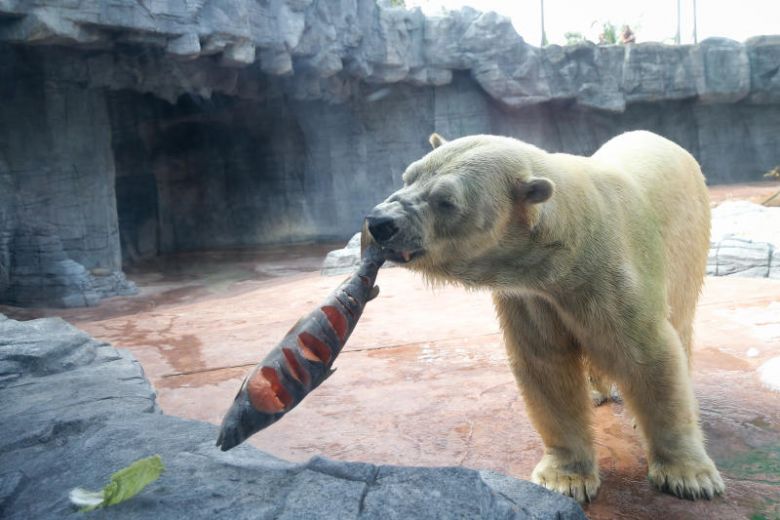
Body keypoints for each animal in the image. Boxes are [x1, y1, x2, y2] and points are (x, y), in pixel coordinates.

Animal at [364, 131, 724, 502]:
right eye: (408, 177)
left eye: (446, 201)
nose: (380, 222)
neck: (571, 251)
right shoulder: (532, 296)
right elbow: (546, 366)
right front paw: (566, 478)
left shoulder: (615, 277)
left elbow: (649, 357)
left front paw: (689, 477)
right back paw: (595, 391)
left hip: (687, 245)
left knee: (680, 322)